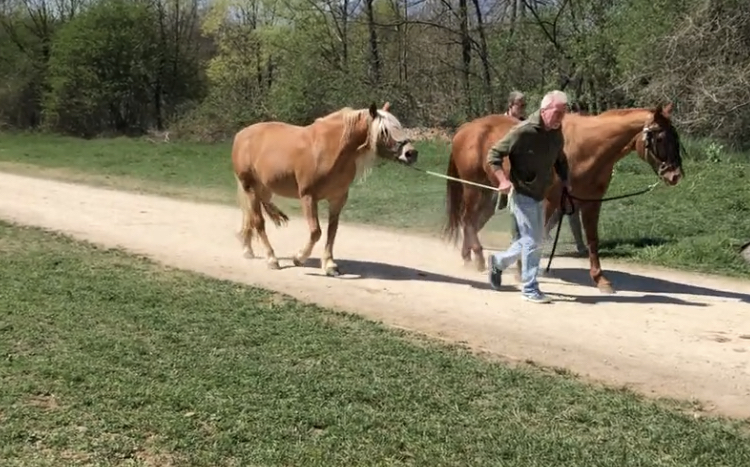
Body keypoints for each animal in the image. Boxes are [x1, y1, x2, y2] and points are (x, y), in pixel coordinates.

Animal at [232, 103, 420, 276]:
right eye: (384, 131)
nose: (411, 153)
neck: (329, 149)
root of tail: (241, 135)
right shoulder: (308, 197)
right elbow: (316, 231)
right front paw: (299, 258)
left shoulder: (337, 199)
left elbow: (332, 231)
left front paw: (329, 265)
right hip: (250, 188)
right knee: (258, 223)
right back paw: (272, 259)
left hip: (262, 190)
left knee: (249, 218)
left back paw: (248, 250)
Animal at [446, 104, 688, 294]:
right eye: (660, 138)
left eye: (676, 137)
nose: (675, 175)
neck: (585, 148)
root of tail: (465, 129)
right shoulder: (549, 202)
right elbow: (535, 235)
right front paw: (523, 270)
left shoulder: (590, 203)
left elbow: (592, 240)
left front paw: (600, 279)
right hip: (473, 189)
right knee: (468, 220)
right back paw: (477, 258)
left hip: (488, 194)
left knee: (472, 221)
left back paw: (468, 257)